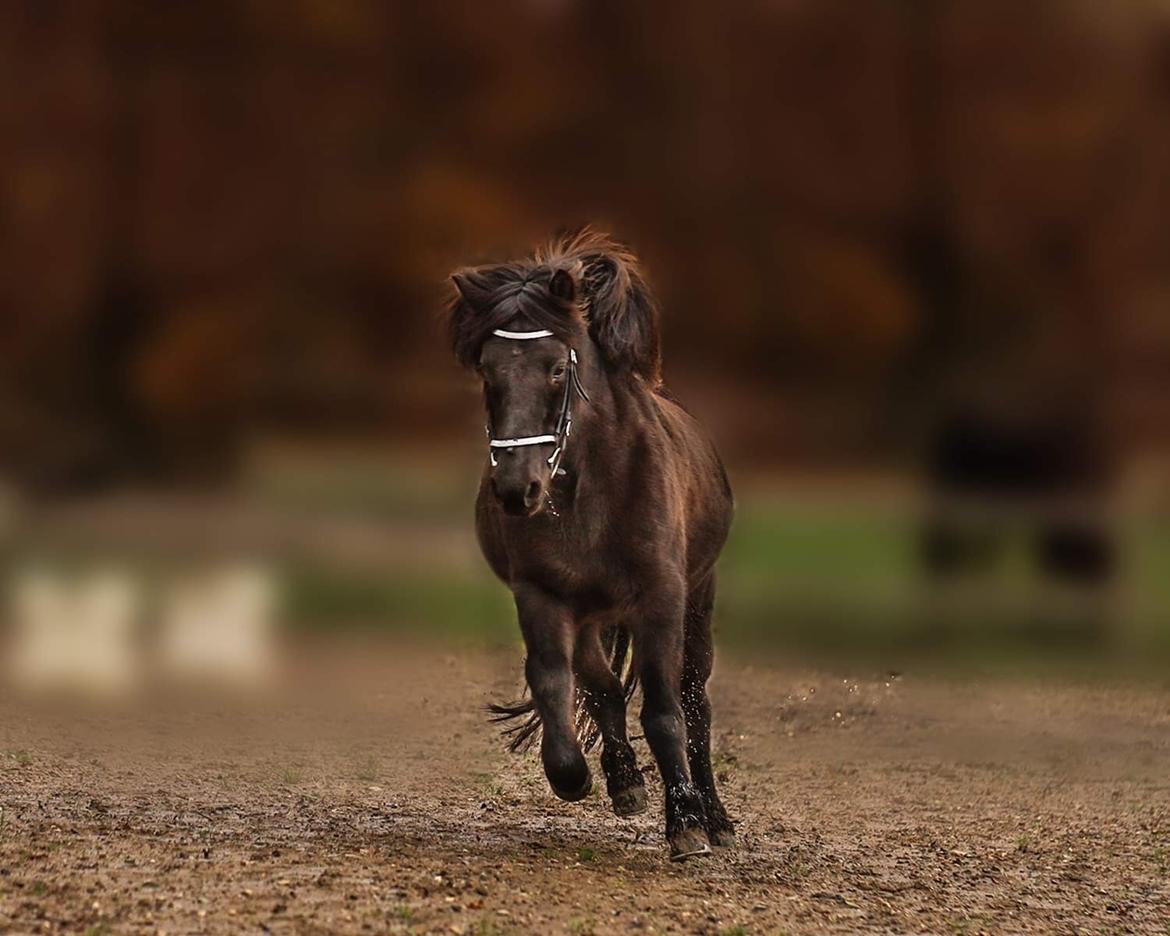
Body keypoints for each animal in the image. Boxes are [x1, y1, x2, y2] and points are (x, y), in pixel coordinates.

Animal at [444, 230, 730, 861]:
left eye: (556, 369)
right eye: (487, 371)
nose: (516, 490)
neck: (589, 494)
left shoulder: (662, 596)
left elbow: (667, 710)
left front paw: (687, 824)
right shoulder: (542, 594)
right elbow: (554, 680)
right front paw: (574, 775)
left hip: (698, 598)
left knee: (695, 701)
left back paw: (717, 819)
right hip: (593, 616)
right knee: (602, 687)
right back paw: (624, 781)